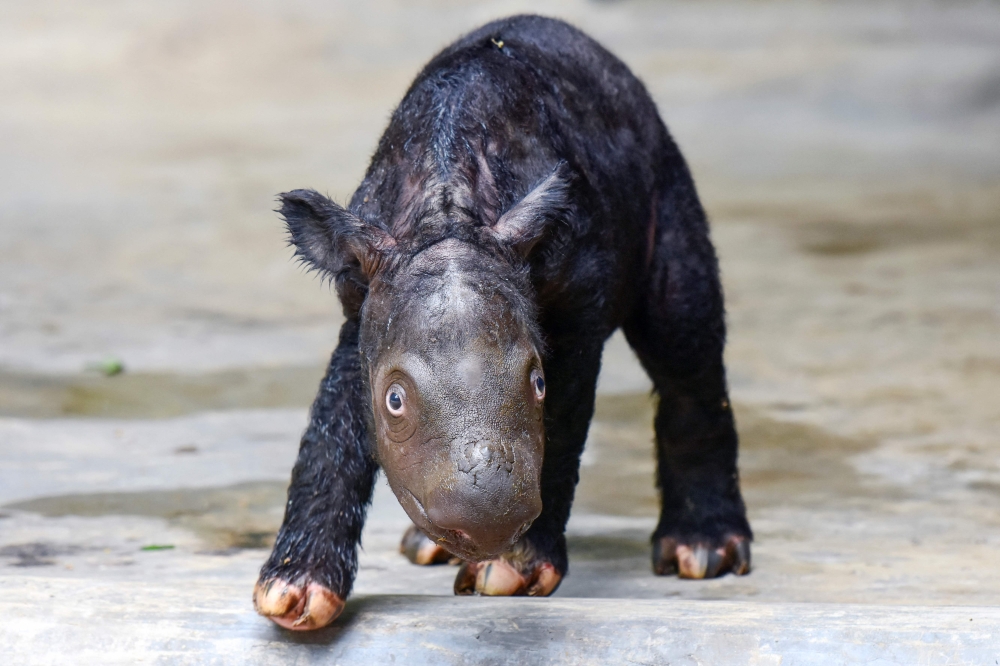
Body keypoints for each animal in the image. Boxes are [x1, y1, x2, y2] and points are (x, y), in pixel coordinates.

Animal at [254, 15, 752, 628]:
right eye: (394, 401)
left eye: (536, 382)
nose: (487, 526)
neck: (447, 211)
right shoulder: (365, 298)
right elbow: (334, 421)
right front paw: (292, 593)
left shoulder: (576, 305)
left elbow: (562, 424)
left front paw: (511, 572)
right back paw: (430, 550)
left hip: (665, 174)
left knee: (682, 339)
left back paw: (702, 553)